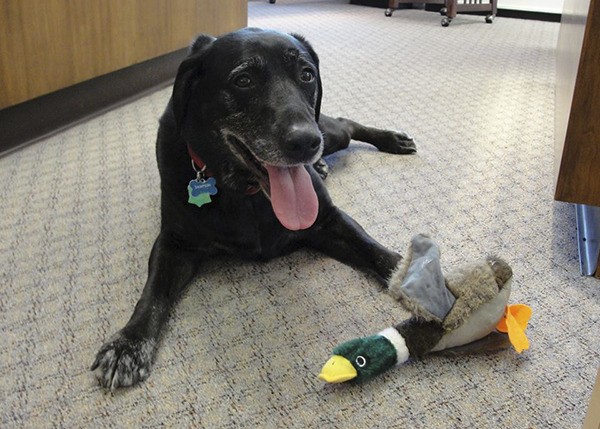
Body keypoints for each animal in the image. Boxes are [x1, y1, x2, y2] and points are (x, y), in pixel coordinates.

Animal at [91, 26, 414, 388]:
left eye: (306, 74)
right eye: (243, 80)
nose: (306, 142)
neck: (246, 191)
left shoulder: (328, 220)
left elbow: (373, 249)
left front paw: (416, 278)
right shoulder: (174, 242)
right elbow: (153, 293)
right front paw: (128, 343)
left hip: (328, 132)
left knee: (345, 124)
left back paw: (390, 140)